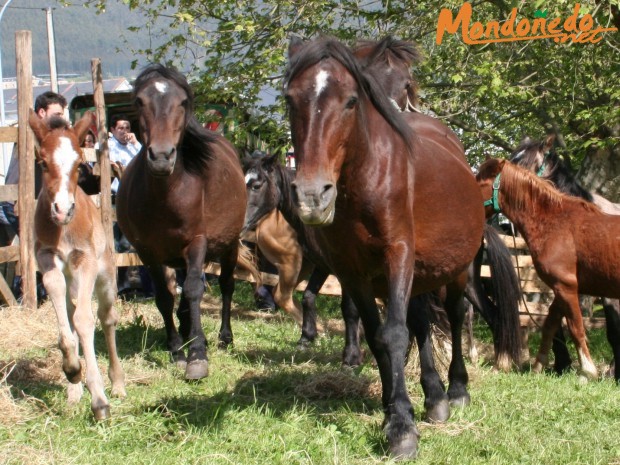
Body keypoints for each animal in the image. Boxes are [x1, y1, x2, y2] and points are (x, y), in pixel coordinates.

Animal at [29, 110, 126, 418]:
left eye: (79, 163)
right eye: (42, 162)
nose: (62, 210)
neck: (63, 229)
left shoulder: (85, 262)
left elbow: (85, 321)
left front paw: (100, 400)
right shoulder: (47, 258)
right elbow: (66, 315)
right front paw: (72, 370)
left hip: (105, 277)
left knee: (107, 318)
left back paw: (117, 384)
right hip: (73, 280)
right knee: (71, 309)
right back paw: (74, 391)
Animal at [116, 63, 254, 378]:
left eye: (182, 102)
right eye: (139, 101)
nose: (161, 156)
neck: (168, 195)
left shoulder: (196, 243)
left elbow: (192, 290)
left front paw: (197, 355)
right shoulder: (149, 252)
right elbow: (165, 297)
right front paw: (177, 348)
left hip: (228, 247)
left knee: (225, 285)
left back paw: (224, 337)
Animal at [284, 35, 486, 456]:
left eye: (350, 100)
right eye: (290, 99)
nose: (312, 196)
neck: (364, 178)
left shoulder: (398, 255)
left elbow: (394, 334)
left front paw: (402, 428)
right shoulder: (352, 272)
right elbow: (378, 340)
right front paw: (393, 410)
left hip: (457, 270)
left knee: (456, 315)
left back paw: (457, 389)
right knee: (422, 323)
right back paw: (434, 395)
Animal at [480, 158, 620, 382]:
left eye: (480, 182)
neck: (554, 223)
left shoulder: (566, 287)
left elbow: (576, 328)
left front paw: (587, 371)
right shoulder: (560, 288)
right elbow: (550, 325)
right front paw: (539, 366)